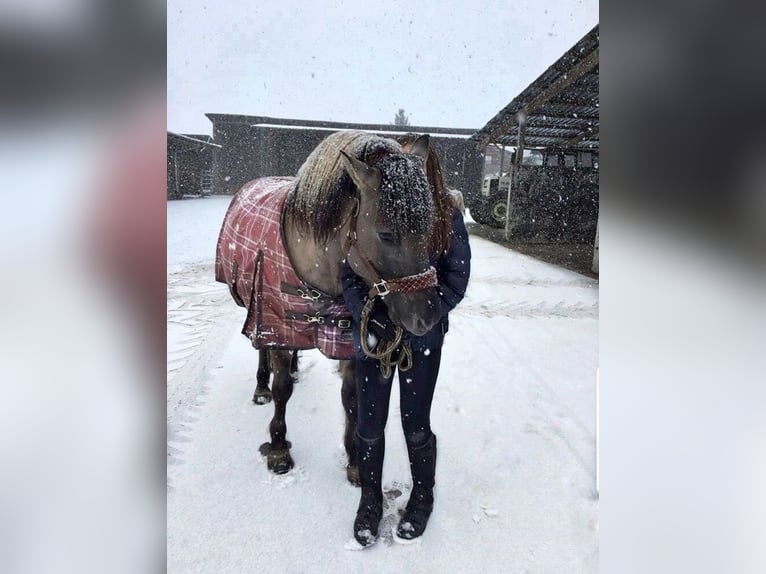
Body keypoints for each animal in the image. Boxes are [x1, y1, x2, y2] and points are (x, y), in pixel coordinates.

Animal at [216, 132, 444, 486]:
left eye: (429, 227)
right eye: (387, 234)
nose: (427, 315)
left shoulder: (347, 338)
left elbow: (350, 399)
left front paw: (355, 462)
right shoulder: (279, 326)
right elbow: (282, 390)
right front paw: (279, 449)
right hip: (260, 314)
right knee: (261, 350)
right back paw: (261, 386)